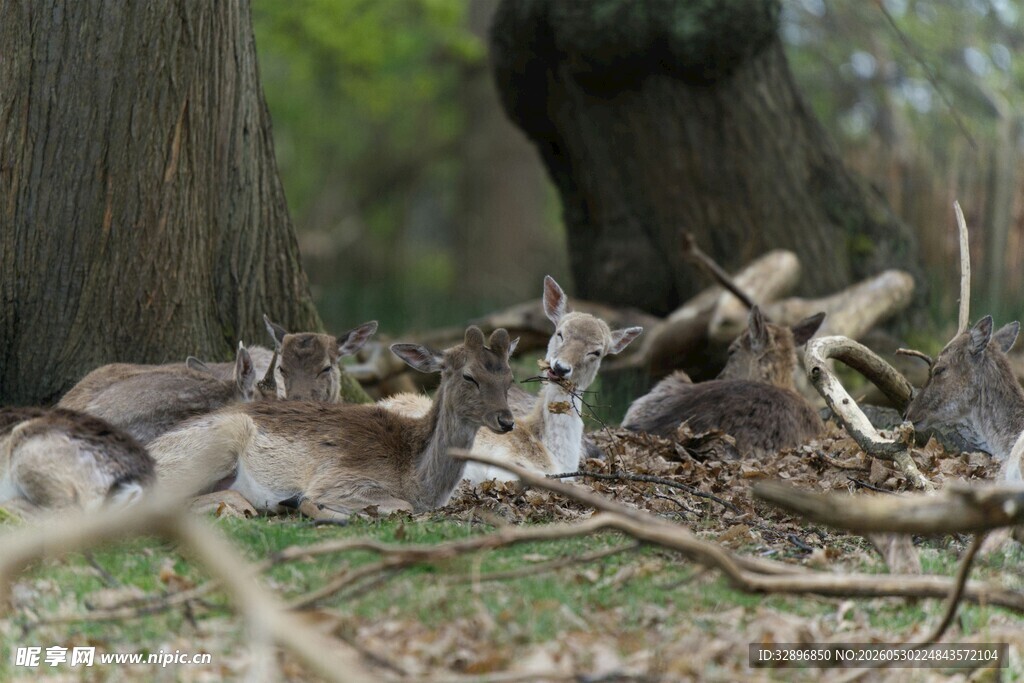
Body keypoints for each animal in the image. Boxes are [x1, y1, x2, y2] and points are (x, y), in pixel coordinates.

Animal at [147, 326, 516, 521]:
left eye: (510, 378)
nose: (507, 420)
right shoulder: (340, 478)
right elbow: (399, 505)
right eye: (469, 376)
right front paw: (306, 504)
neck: (418, 477)